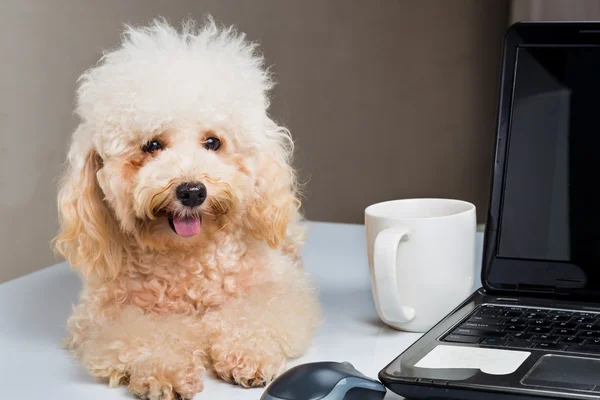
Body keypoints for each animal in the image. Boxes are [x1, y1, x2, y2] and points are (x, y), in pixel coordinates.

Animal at [54, 17, 322, 398]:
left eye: (213, 142)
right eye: (152, 145)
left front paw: (248, 352)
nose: (192, 191)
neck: (188, 259)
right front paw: (165, 370)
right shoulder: (106, 315)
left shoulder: (276, 290)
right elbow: (148, 335)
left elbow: (255, 314)